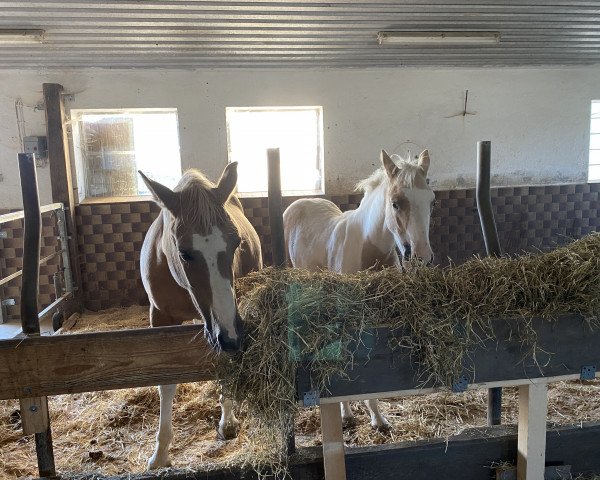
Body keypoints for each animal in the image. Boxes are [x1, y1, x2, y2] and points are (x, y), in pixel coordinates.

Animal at [142, 164, 264, 468]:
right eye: (185, 252)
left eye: (236, 243)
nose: (230, 337)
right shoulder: (160, 320)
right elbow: (166, 382)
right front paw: (160, 452)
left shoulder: (230, 320)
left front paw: (227, 421)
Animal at [284, 148, 434, 430]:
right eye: (395, 203)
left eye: (431, 200)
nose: (421, 257)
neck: (369, 247)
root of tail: (301, 202)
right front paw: (349, 414)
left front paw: (378, 418)